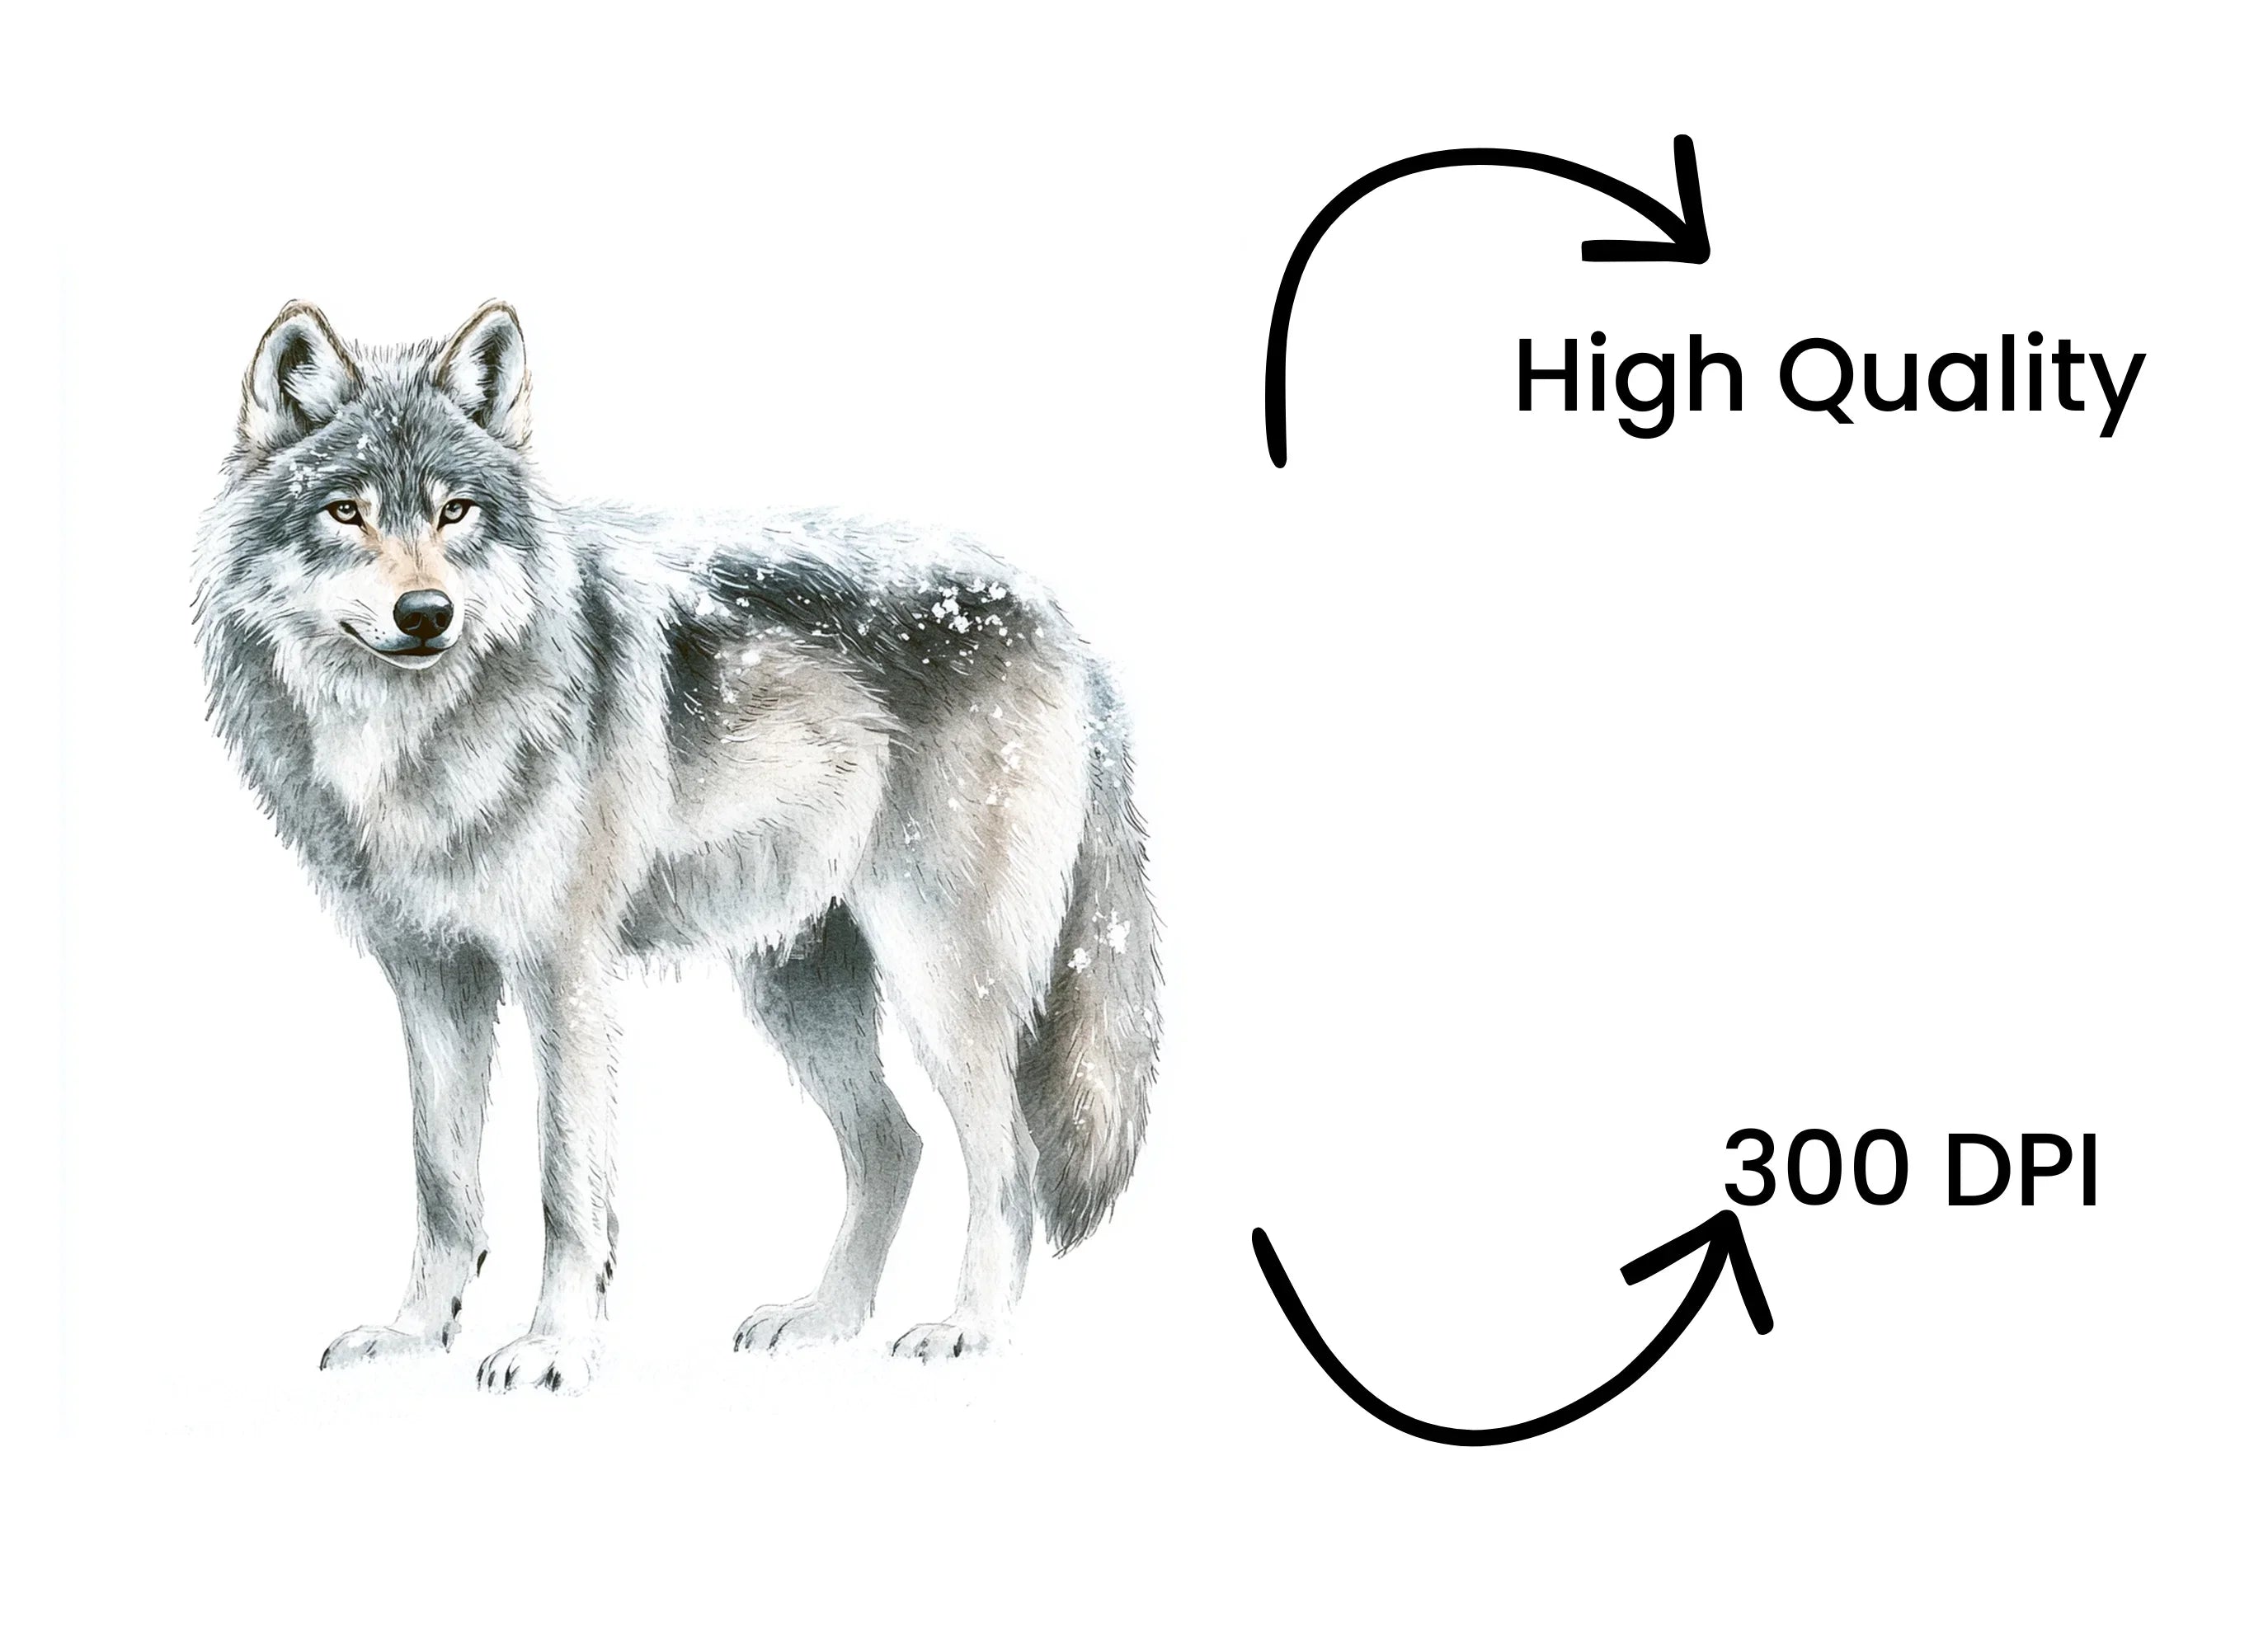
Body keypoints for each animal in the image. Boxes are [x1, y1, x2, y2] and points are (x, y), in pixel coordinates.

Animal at [194, 300, 1159, 1393]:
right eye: (345, 511)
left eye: (456, 512)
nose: (426, 613)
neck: (412, 742)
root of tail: (1064, 624)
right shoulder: (431, 975)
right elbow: (441, 1181)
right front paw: (413, 1334)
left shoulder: (562, 974)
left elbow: (567, 1186)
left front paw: (554, 1345)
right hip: (798, 986)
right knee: (893, 1145)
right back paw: (825, 1320)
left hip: (938, 979)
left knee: (1010, 1162)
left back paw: (971, 1329)